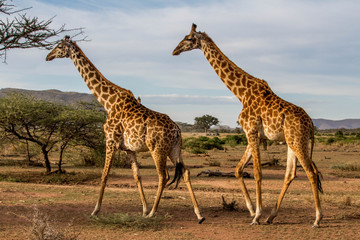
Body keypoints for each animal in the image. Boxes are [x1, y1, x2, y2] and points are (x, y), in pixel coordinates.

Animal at [45, 35, 205, 223]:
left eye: (59, 46)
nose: (48, 56)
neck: (107, 102)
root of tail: (178, 130)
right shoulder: (129, 149)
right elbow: (137, 176)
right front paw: (143, 209)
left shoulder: (110, 141)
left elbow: (104, 175)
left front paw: (95, 211)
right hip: (174, 150)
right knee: (186, 172)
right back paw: (198, 214)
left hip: (157, 148)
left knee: (163, 176)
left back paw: (153, 213)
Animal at [173, 24, 322, 227]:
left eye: (188, 38)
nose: (175, 50)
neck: (241, 93)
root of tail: (311, 123)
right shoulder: (255, 135)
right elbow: (238, 169)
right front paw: (252, 211)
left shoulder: (250, 131)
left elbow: (257, 172)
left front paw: (257, 215)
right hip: (292, 141)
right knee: (290, 174)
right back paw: (271, 216)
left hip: (297, 140)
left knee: (311, 172)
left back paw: (317, 218)